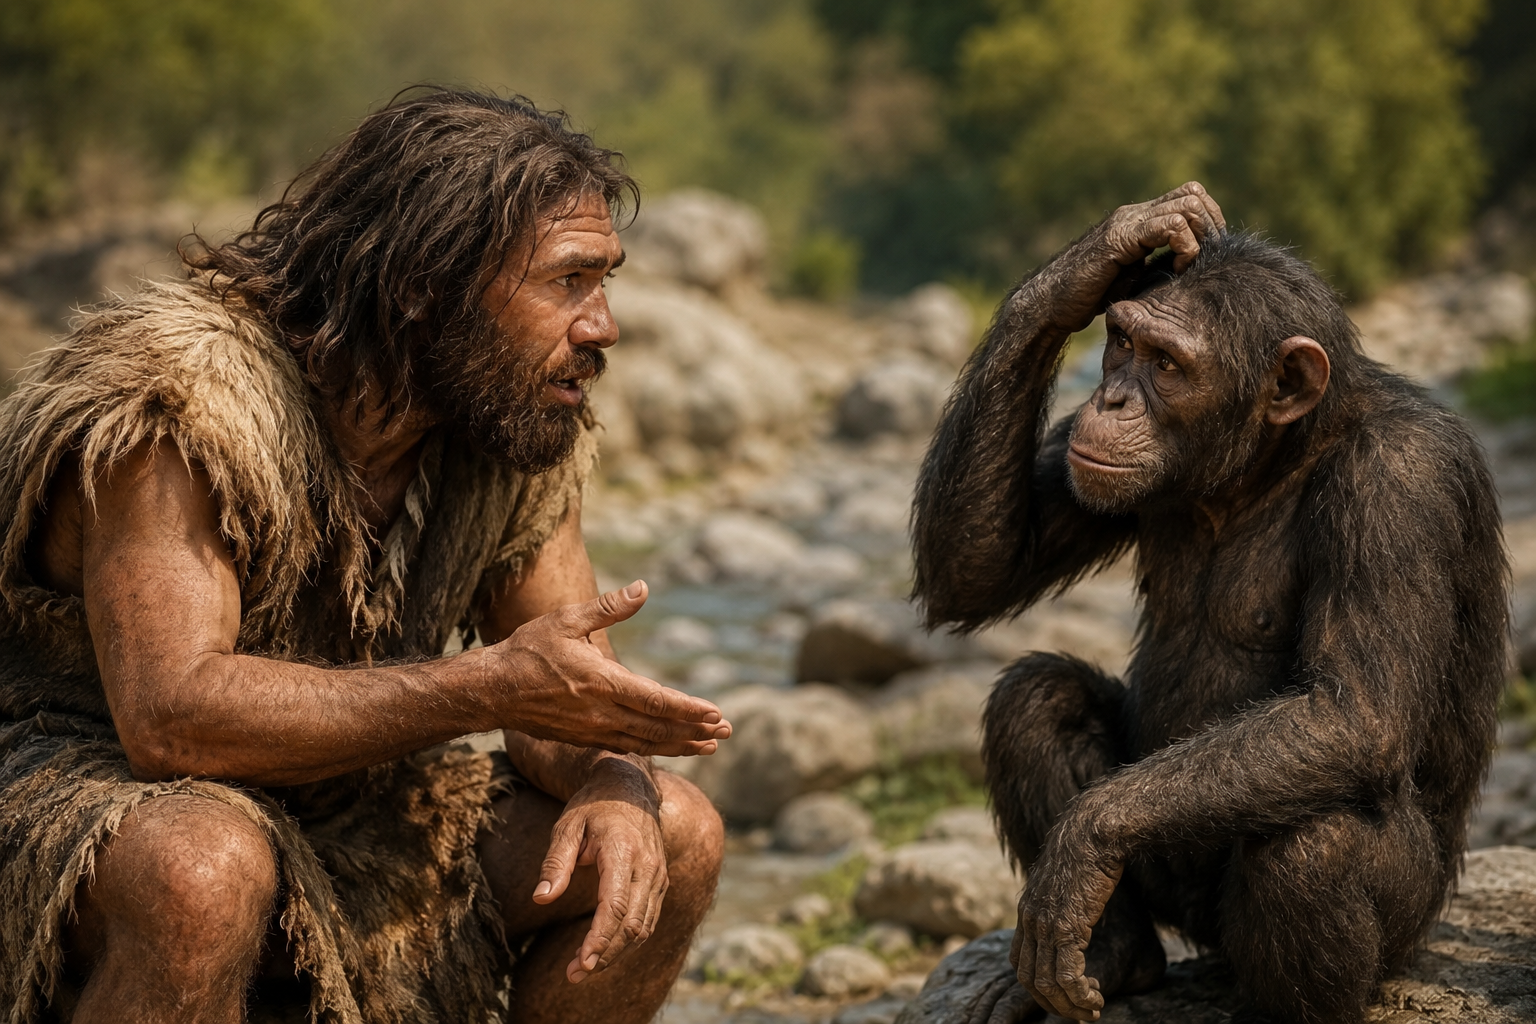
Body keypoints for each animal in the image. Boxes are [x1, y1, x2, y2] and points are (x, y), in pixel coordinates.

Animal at [909, 183, 1509, 1024]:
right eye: (1122, 343)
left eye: (1168, 364)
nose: (1111, 398)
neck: (1272, 460)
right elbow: (979, 565)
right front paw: (1116, 244)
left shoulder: (1399, 480)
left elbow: (1356, 711)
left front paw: (1080, 845)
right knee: (1036, 697)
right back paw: (1116, 955)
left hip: (1406, 926)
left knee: (1311, 847)